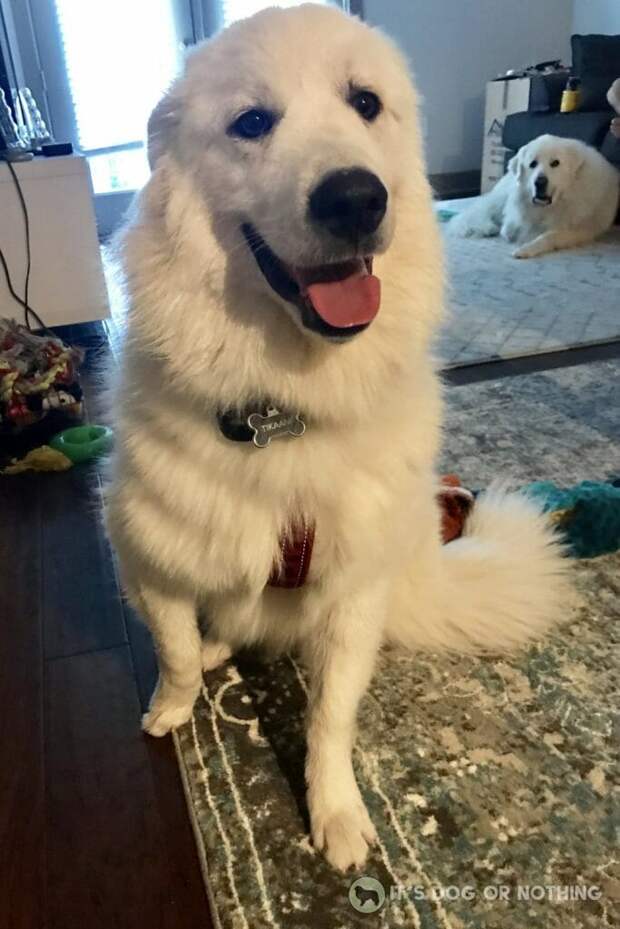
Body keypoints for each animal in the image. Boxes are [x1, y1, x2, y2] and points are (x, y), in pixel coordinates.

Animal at [104, 5, 568, 872]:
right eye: (252, 122)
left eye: (365, 103)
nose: (355, 199)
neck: (283, 409)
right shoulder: (148, 557)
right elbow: (175, 648)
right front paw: (172, 706)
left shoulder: (352, 592)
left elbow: (329, 719)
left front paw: (339, 816)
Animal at [450, 134, 620, 258]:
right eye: (533, 164)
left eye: (555, 163)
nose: (540, 182)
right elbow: (510, 224)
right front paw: (511, 231)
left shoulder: (579, 229)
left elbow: (548, 236)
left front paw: (526, 249)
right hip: (502, 198)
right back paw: (488, 227)